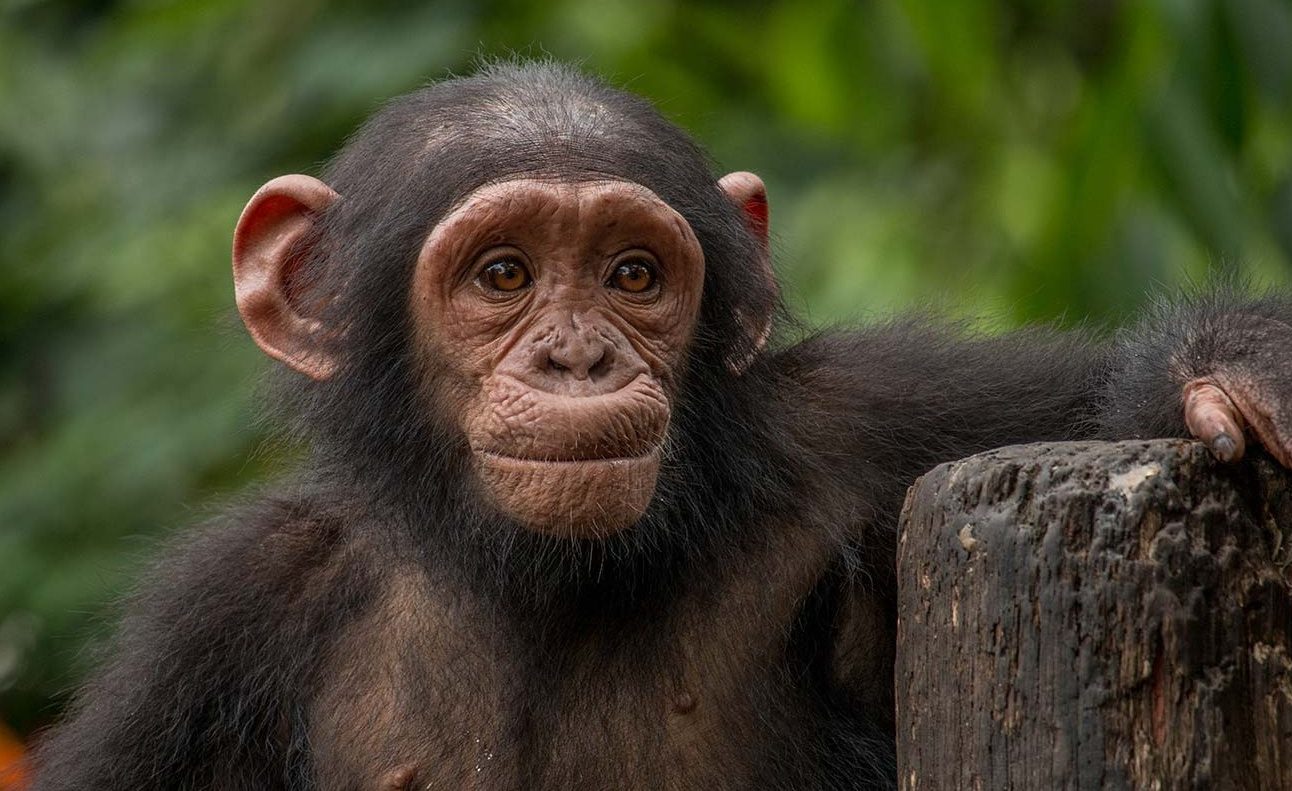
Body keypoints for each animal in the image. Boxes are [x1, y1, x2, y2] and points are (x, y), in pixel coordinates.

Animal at [27, 61, 1292, 791]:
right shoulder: (210, 625)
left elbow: (1071, 400)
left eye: (632, 273)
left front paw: (1229, 367)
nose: (578, 356)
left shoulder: (879, 417)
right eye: (502, 273)